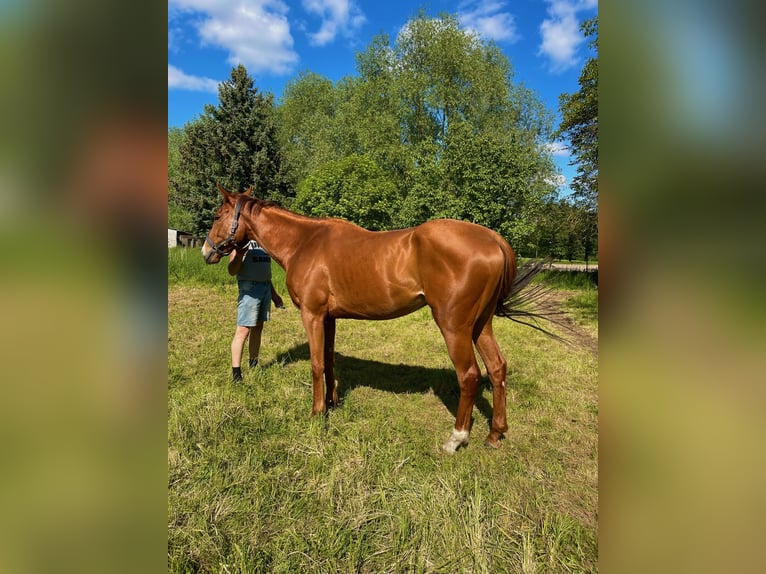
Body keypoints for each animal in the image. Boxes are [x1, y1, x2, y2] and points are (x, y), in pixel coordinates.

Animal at [201, 187, 556, 452]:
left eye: (217, 216)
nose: (207, 251)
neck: (305, 242)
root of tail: (492, 239)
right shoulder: (329, 318)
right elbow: (329, 362)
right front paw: (332, 403)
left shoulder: (312, 315)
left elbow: (316, 364)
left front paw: (316, 414)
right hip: (480, 325)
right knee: (497, 369)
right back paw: (494, 434)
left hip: (454, 326)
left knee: (469, 376)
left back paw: (456, 439)